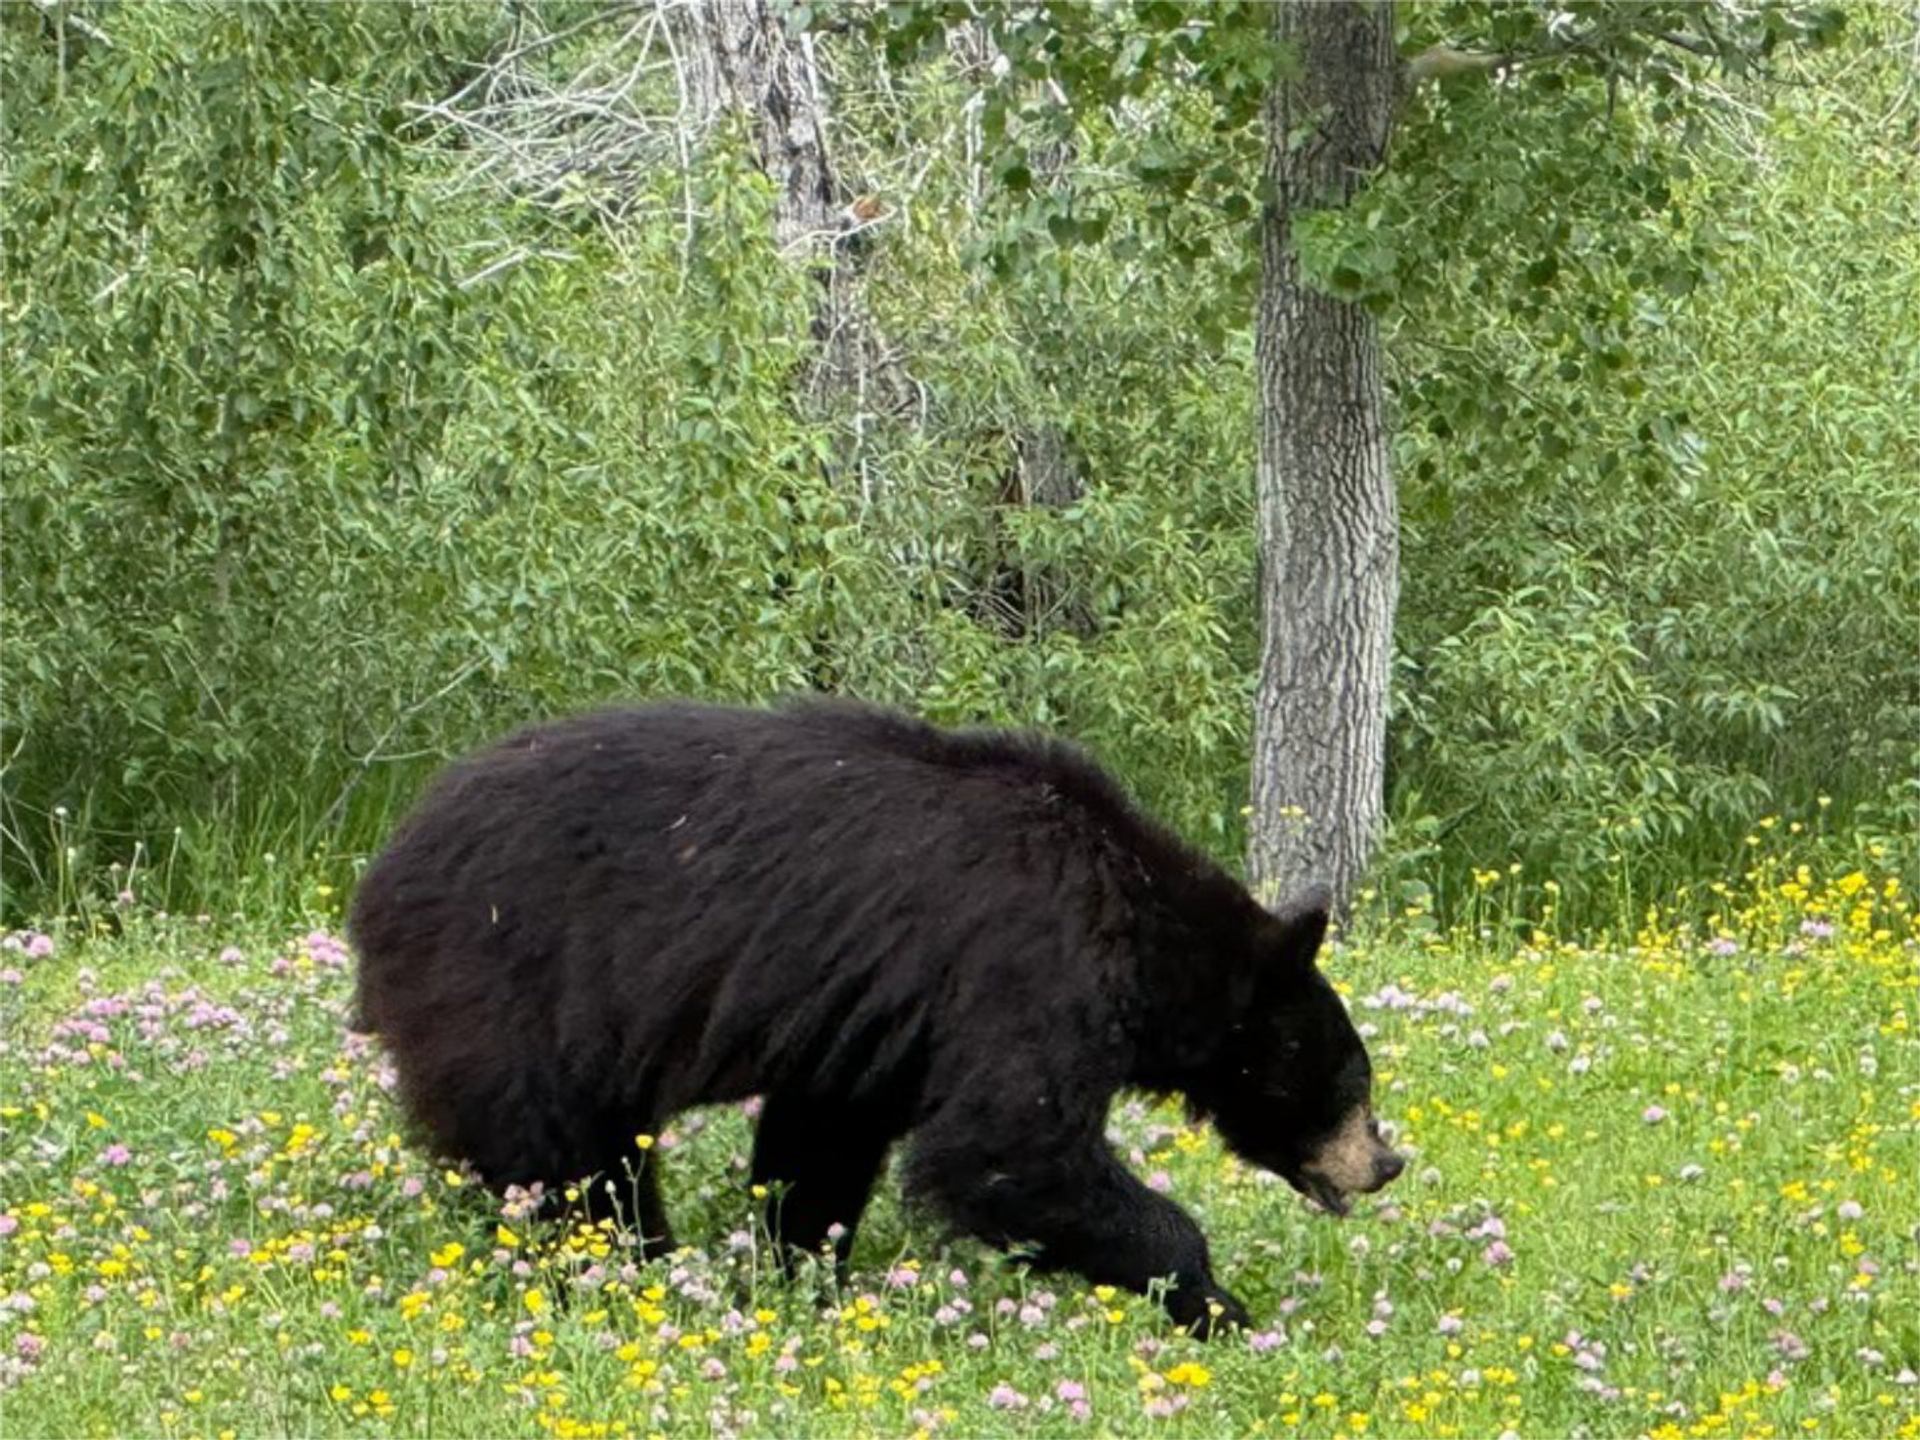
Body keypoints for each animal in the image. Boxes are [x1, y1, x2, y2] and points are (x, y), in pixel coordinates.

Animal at [348, 698, 1402, 1334]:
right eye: (1353, 1080)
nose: (1385, 1160)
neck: (1139, 917)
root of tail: (384, 869)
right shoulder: (1028, 966)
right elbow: (1012, 1149)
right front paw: (1215, 1300)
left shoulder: (872, 1031)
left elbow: (822, 1144)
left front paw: (805, 1276)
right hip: (511, 990)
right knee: (566, 1163)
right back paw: (625, 1272)